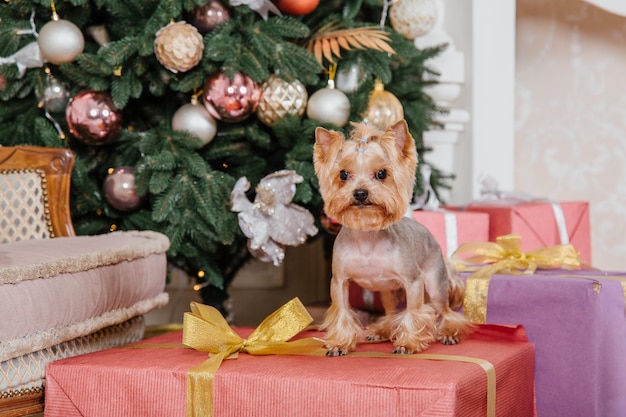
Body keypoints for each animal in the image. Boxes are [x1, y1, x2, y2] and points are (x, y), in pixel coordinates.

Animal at [312, 119, 468, 354]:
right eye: (343, 174)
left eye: (382, 174)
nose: (360, 193)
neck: (367, 238)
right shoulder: (339, 282)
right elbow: (342, 312)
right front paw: (339, 343)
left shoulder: (413, 281)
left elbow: (414, 312)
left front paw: (408, 343)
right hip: (386, 291)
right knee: (391, 312)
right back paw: (381, 331)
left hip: (434, 281)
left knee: (444, 310)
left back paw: (449, 333)